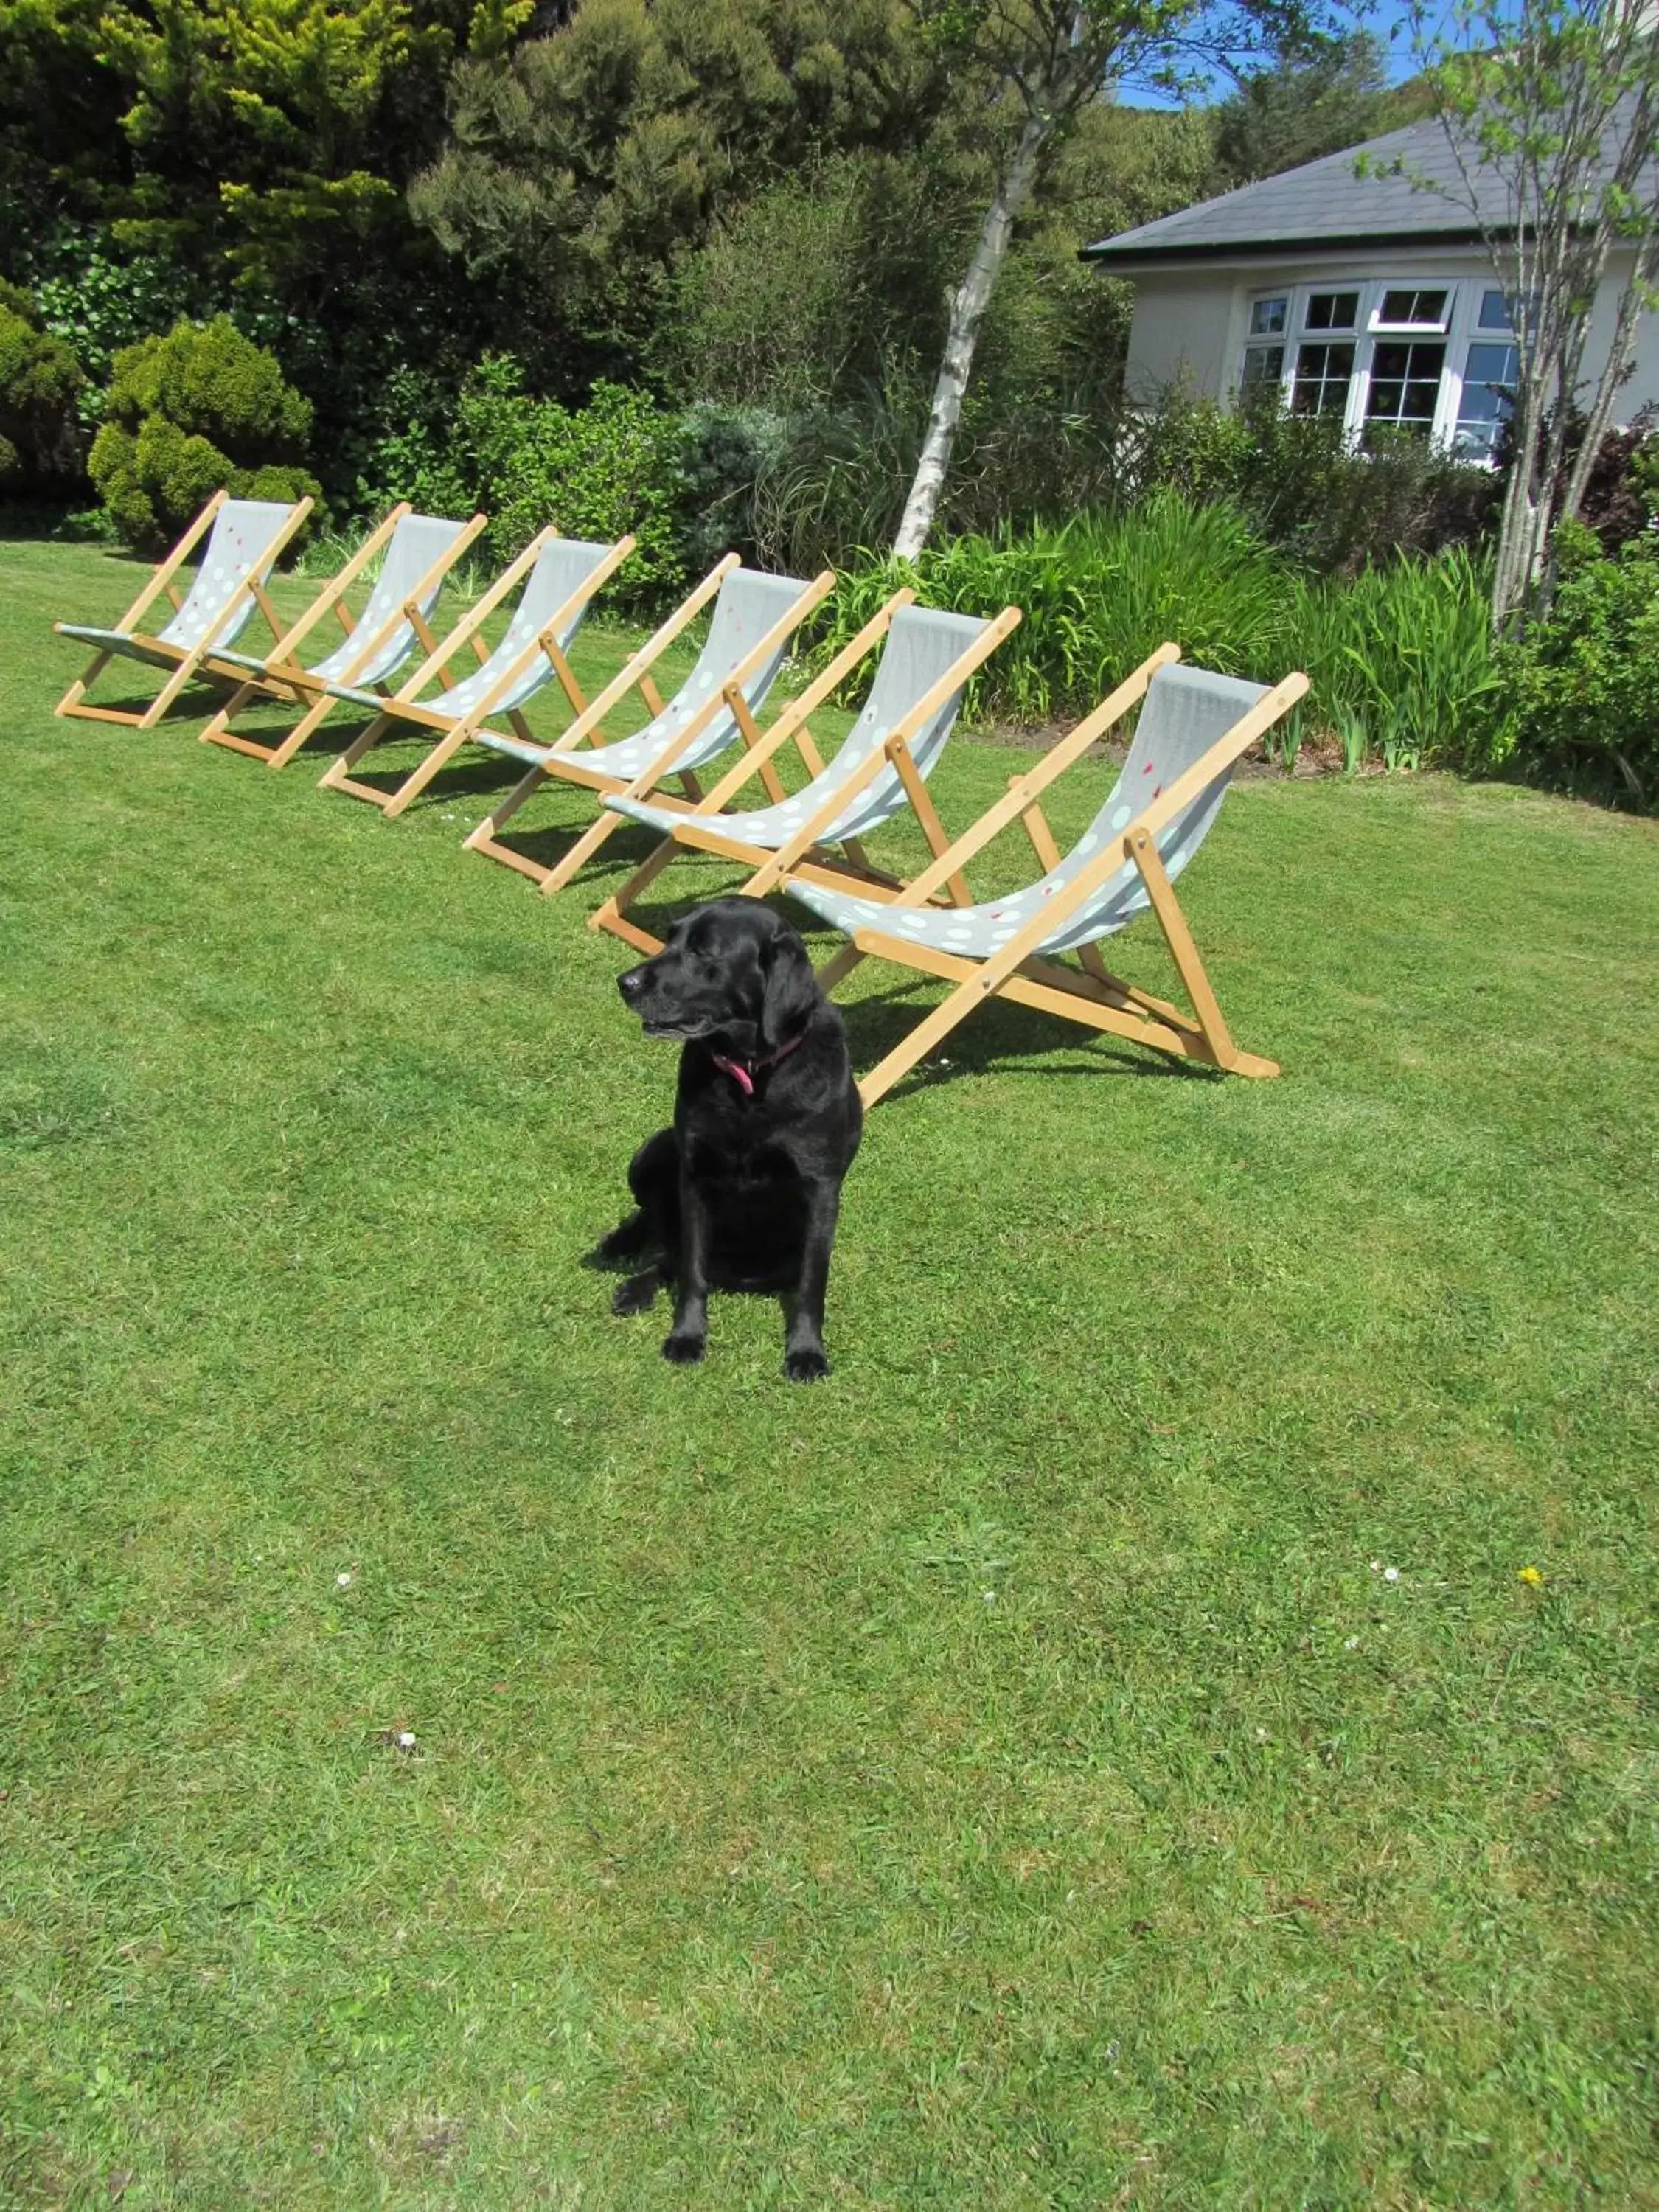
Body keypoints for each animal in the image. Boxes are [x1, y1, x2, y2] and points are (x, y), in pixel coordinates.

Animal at [588, 898, 872, 1380]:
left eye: (703, 952)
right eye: (670, 937)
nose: (625, 982)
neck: (751, 1074)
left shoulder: (820, 1189)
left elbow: (812, 1283)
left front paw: (806, 1352)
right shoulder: (696, 1176)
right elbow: (693, 1271)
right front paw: (687, 1337)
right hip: (655, 1150)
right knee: (660, 1236)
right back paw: (626, 1265)